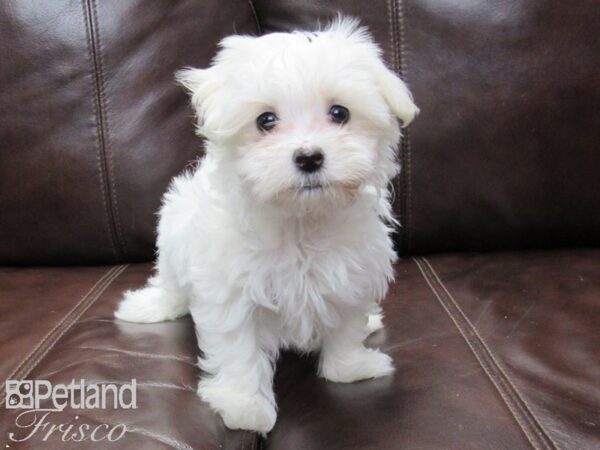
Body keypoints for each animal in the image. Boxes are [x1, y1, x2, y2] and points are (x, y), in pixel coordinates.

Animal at [116, 18, 418, 436]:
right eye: (266, 120)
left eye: (339, 112)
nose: (308, 157)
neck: (301, 222)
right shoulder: (231, 291)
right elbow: (238, 348)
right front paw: (244, 407)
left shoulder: (351, 274)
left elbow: (345, 326)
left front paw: (351, 367)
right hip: (173, 233)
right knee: (171, 285)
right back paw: (151, 305)